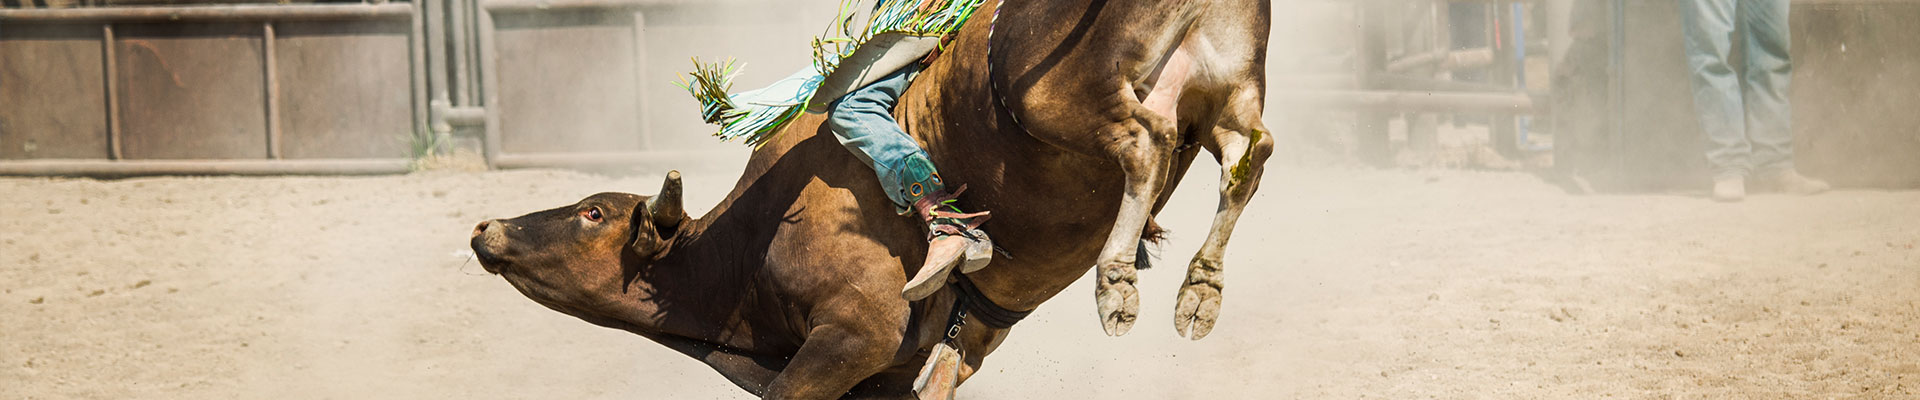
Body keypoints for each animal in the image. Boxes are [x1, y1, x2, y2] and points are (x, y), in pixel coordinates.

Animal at [470, 0, 1267, 396]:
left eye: (592, 213)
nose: (486, 228)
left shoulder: (854, 335)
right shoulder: (928, 363)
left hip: (1065, 100)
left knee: (1147, 140)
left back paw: (1116, 283)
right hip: (1230, 86)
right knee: (1247, 154)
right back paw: (1199, 291)